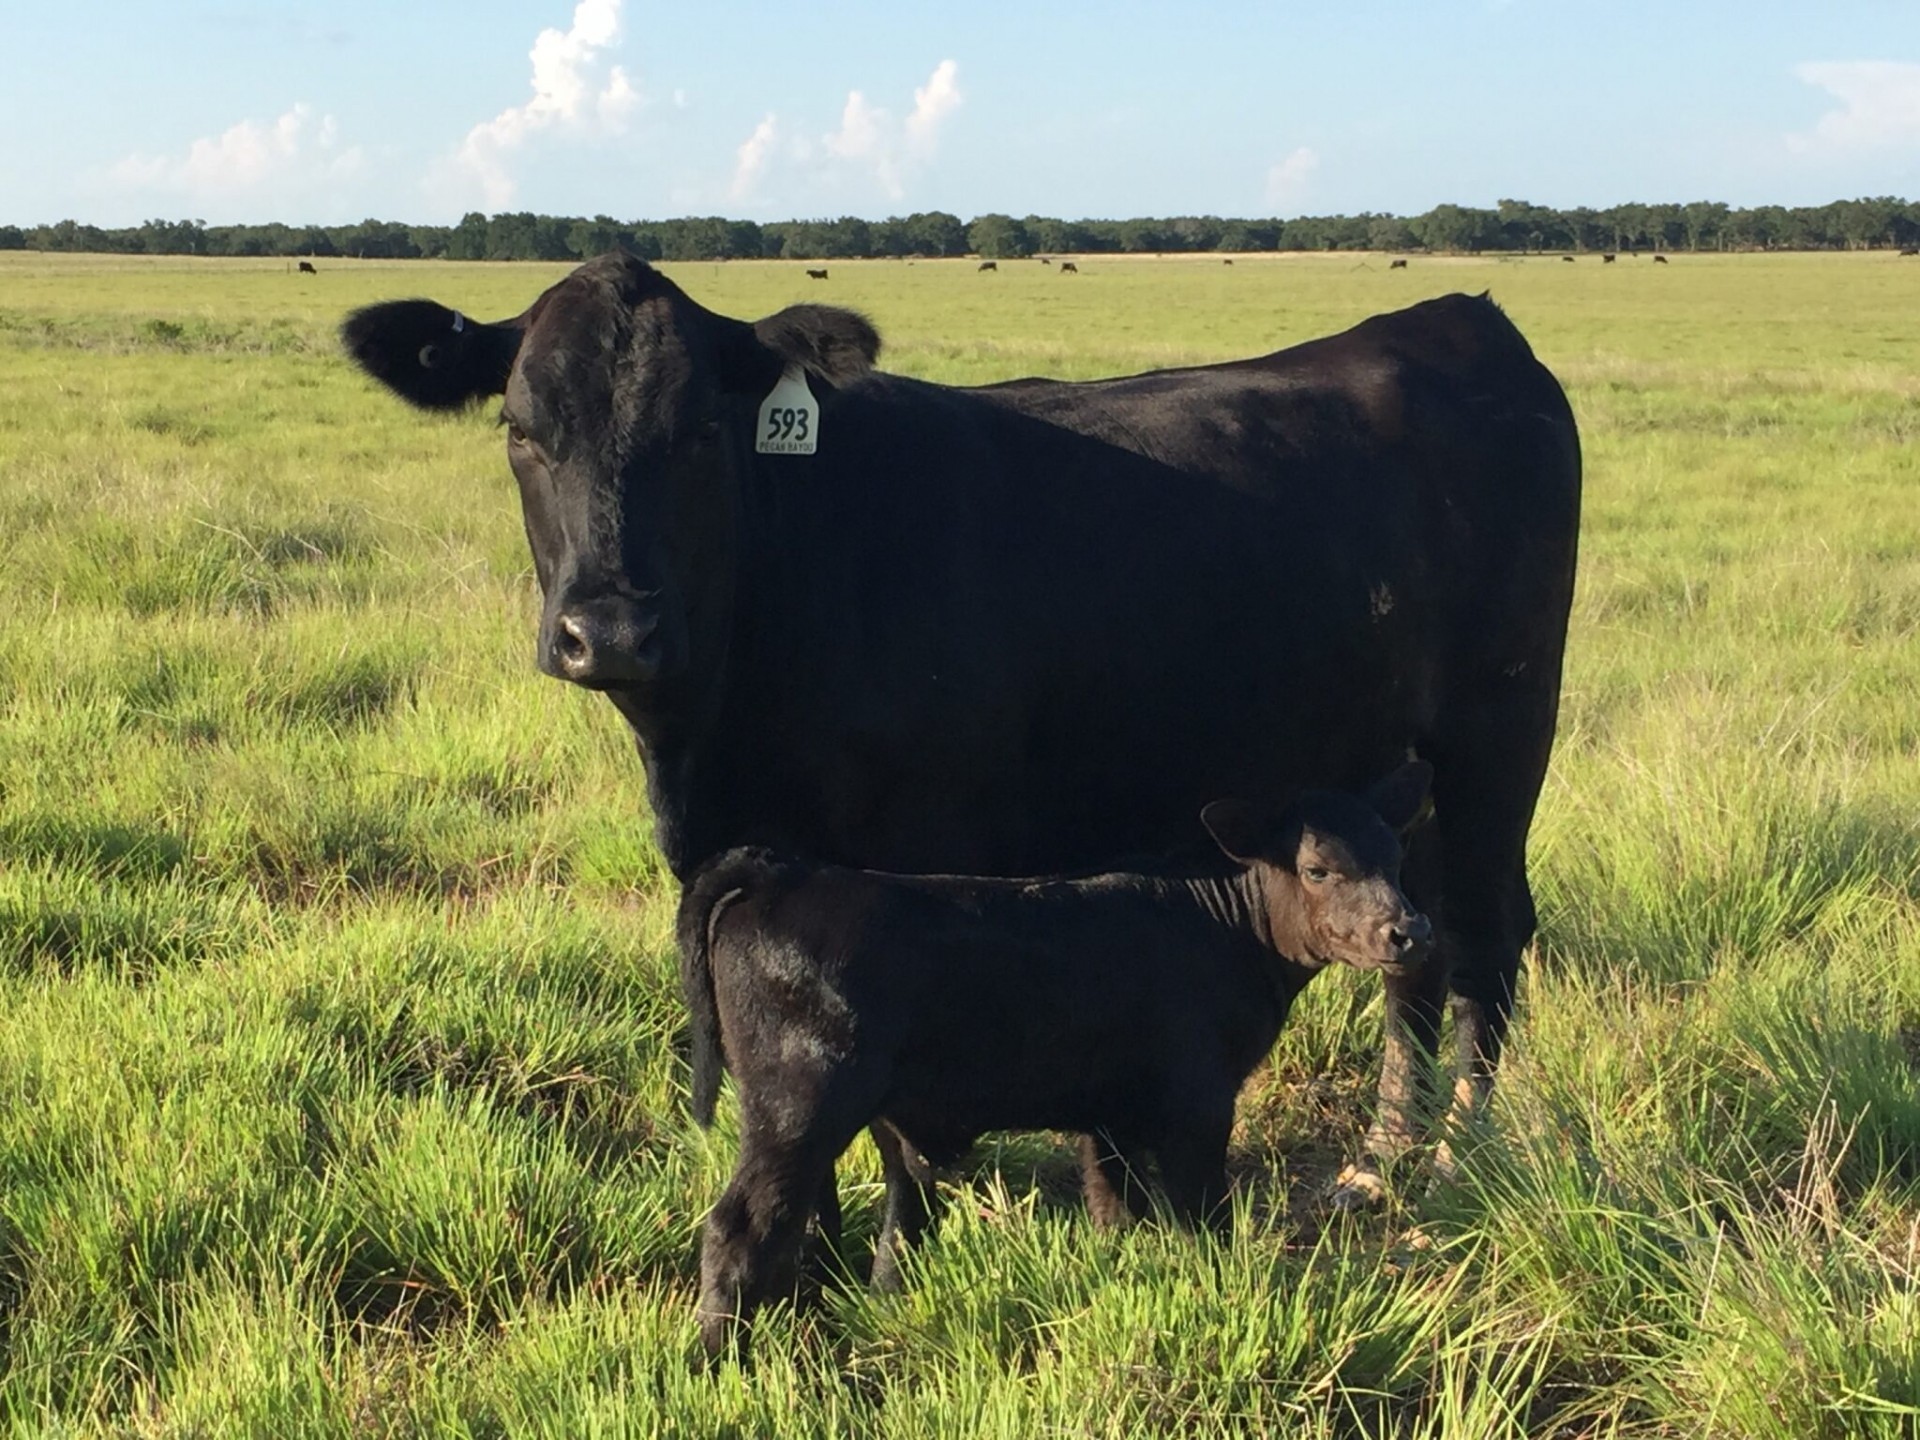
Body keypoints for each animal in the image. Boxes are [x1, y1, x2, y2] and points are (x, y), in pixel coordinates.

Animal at [340, 253, 1581, 1206]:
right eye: (520, 431)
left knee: (1483, 939)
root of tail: (1458, 318)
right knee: (1412, 953)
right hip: (1398, 773)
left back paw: (1453, 1166)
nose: (610, 629)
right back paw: (1380, 1159)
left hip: (1500, 742)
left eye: (700, 433)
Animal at [682, 763, 1435, 1354]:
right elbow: (1205, 1218)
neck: (1218, 924)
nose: (1410, 931)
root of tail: (786, 872)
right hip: (798, 1104)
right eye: (1318, 869)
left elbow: (1114, 1207)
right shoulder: (1198, 1105)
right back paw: (718, 1360)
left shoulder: (1108, 1116)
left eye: (1398, 860)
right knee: (741, 1228)